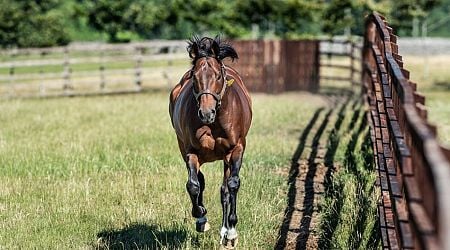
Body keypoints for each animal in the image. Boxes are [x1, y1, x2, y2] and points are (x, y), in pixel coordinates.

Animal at [170, 35, 253, 248]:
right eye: (194, 77)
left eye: (217, 76)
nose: (206, 113)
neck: (214, 123)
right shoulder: (191, 151)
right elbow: (193, 185)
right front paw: (201, 218)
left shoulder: (236, 149)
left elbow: (232, 185)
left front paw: (231, 233)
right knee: (200, 180)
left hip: (226, 157)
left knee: (224, 189)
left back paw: (225, 231)